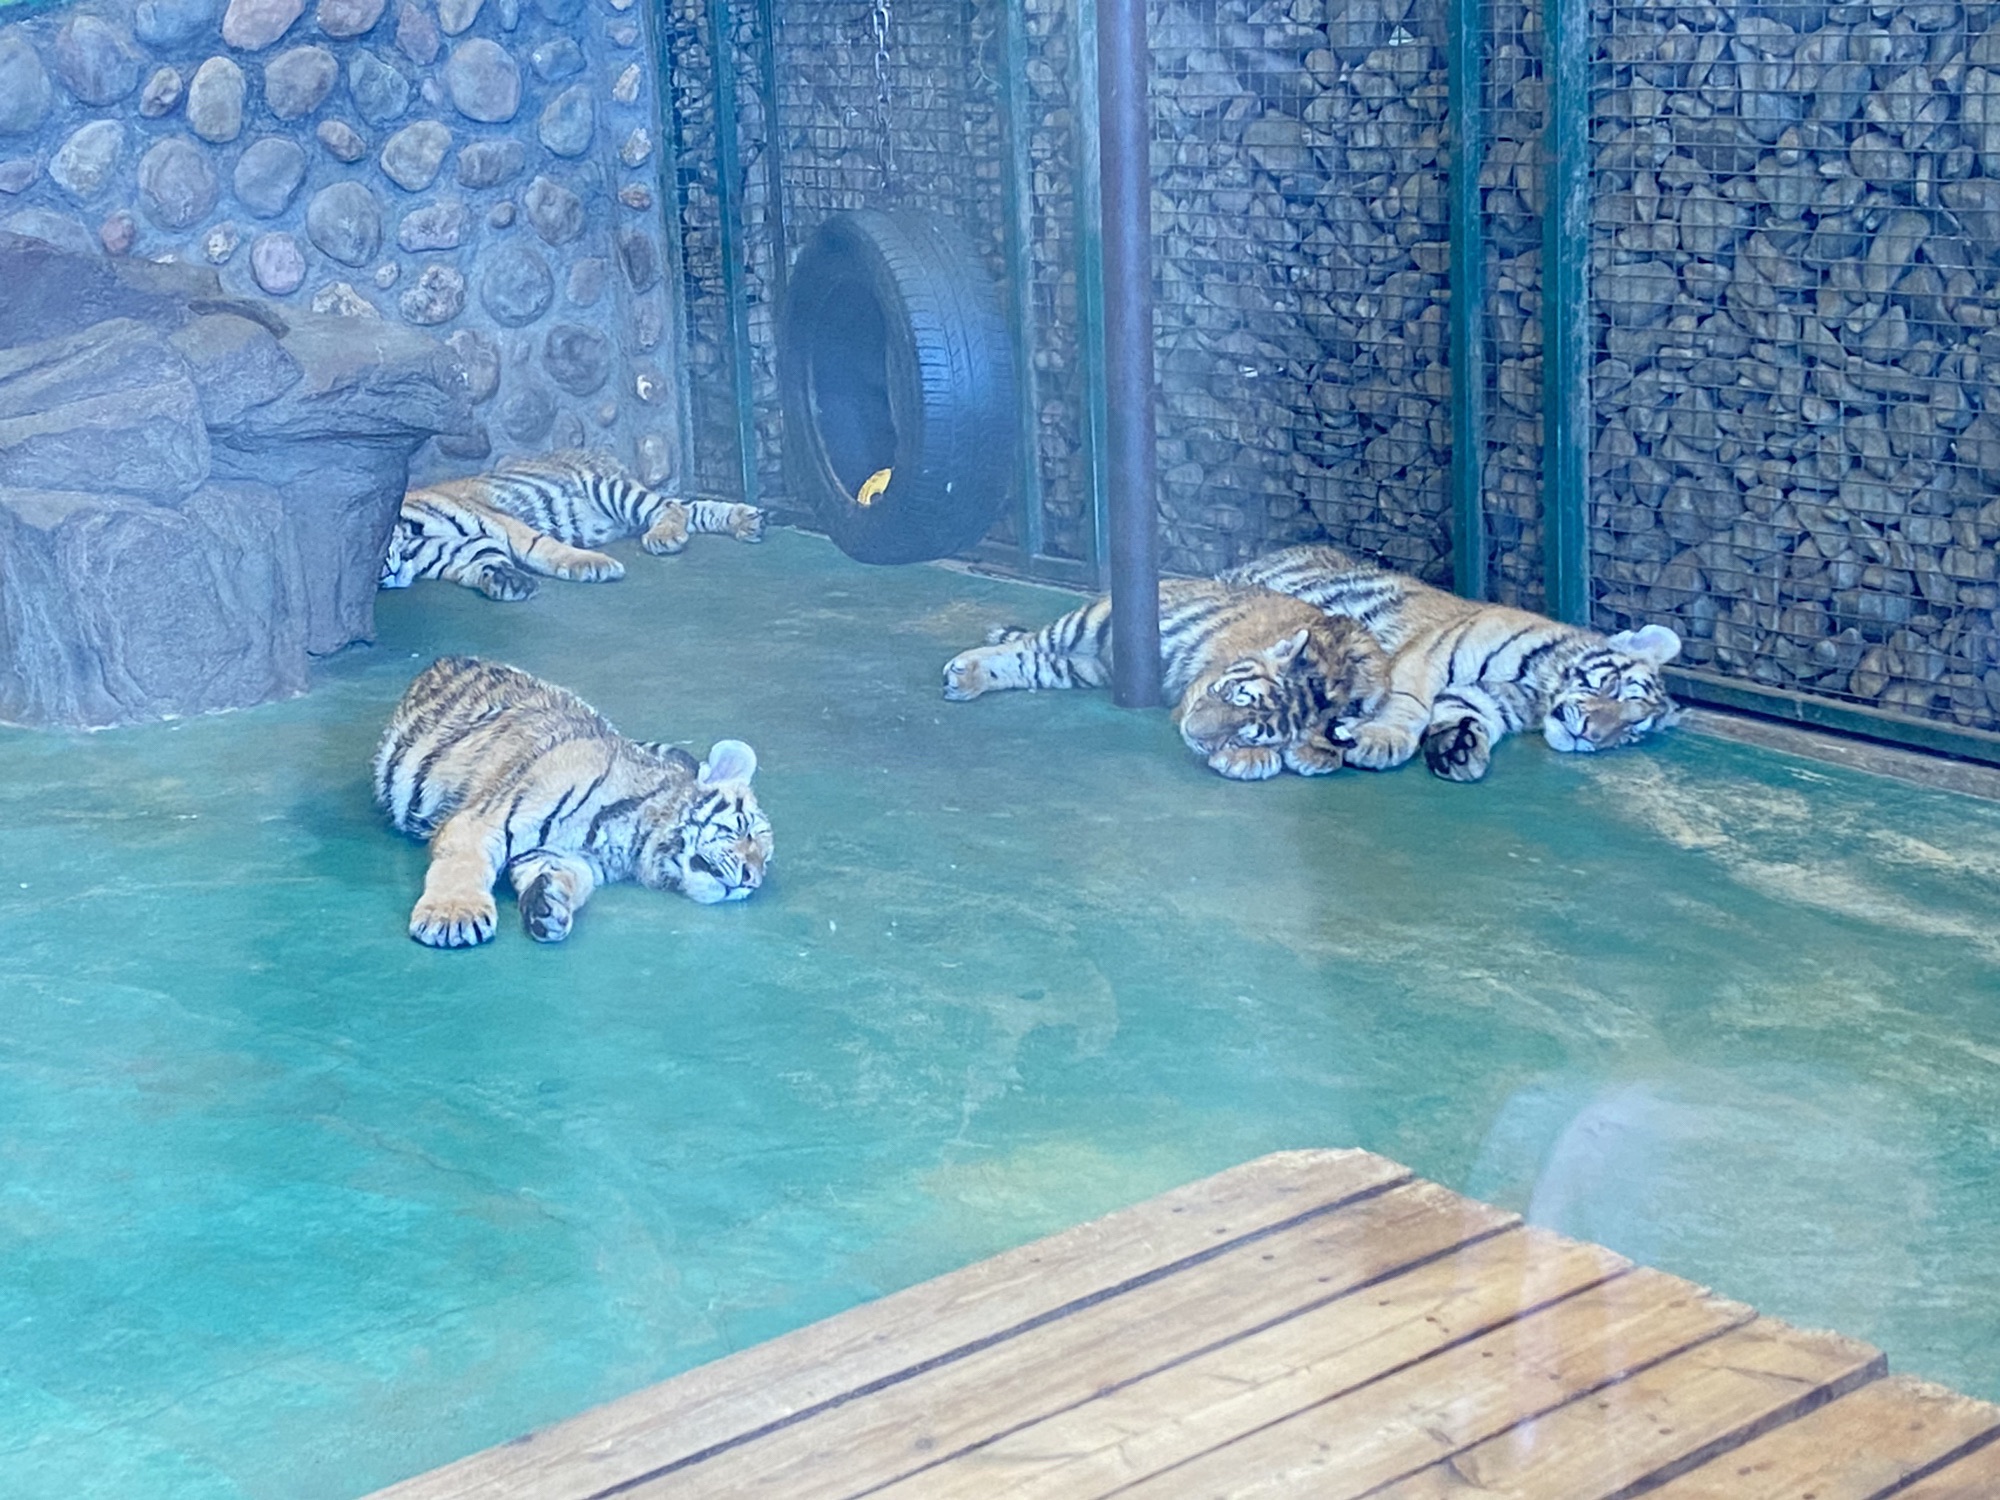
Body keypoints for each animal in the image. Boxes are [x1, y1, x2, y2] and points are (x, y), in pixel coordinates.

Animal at [373, 656, 773, 947]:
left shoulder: (557, 855)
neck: (633, 842)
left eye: (765, 861)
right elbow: (462, 865)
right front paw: (453, 915)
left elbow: (572, 879)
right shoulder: (482, 822)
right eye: (743, 829)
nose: (752, 881)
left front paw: (548, 904)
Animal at [380, 450, 767, 601]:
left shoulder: (502, 524)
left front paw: (594, 566)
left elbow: (543, 548)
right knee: (691, 509)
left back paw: (665, 537)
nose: (385, 575)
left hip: (611, 490)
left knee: (671, 507)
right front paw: (508, 583)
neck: (414, 541)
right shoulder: (460, 552)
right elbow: (484, 563)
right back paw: (748, 522)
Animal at [941, 578, 1390, 780]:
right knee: (1027, 643)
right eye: (1232, 692)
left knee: (1029, 661)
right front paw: (1250, 762)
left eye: (1244, 731)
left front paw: (1310, 752)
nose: (1192, 732)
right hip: (1087, 625)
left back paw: (968, 679)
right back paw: (963, 672)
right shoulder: (1196, 689)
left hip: (1082, 668)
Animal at [1220, 544, 1683, 782]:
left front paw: (1460, 748)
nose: (1590, 735)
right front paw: (1382, 741)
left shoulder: (1484, 699)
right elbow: (1408, 705)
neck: (1535, 692)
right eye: (1614, 689)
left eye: (1629, 732)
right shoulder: (1431, 655)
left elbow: (1468, 715)